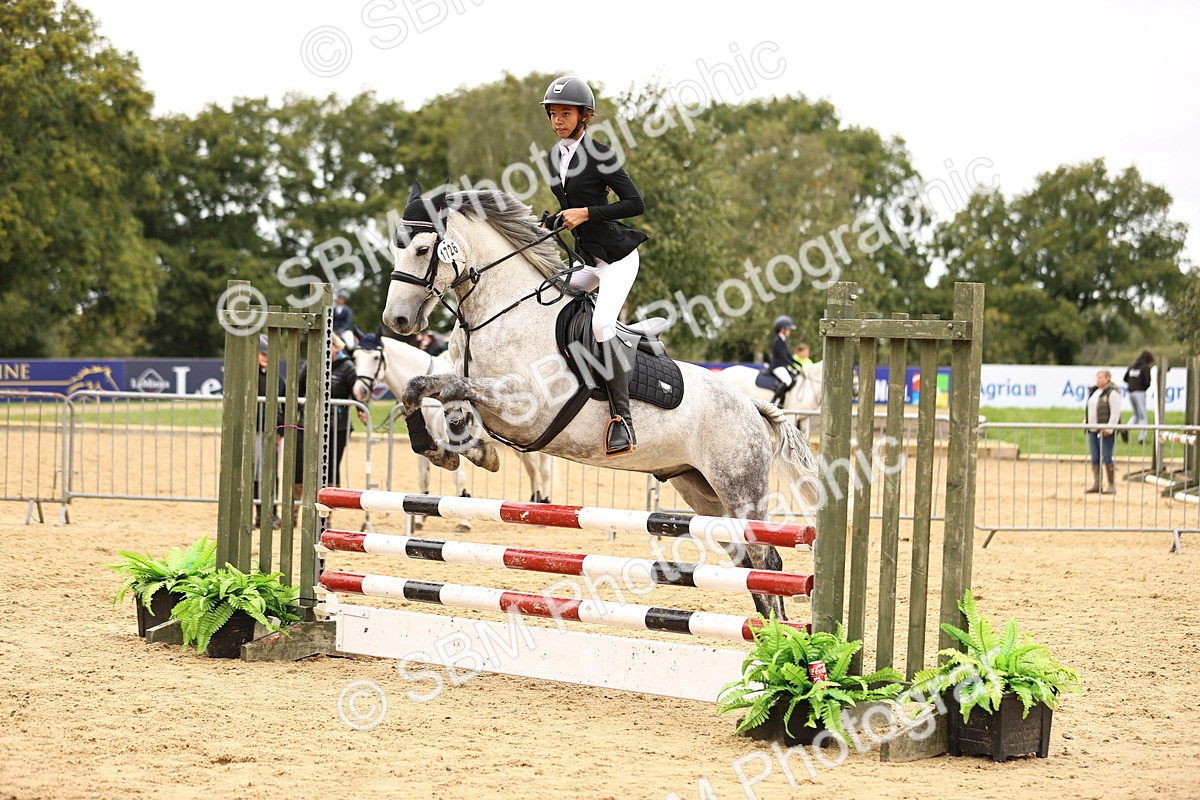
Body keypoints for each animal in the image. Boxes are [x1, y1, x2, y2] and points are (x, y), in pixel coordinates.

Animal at [349, 332, 554, 531]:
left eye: (376, 357)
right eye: (355, 357)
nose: (359, 392)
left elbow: (459, 479)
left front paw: (464, 521)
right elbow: (423, 478)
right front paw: (420, 519)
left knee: (543, 471)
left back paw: (543, 505)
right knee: (532, 471)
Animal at [380, 187, 819, 620]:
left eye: (422, 249)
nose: (396, 320)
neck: (499, 312)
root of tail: (750, 406)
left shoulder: (525, 407)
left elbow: (454, 389)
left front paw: (475, 452)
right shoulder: (470, 385)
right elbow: (425, 389)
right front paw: (448, 449)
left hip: (740, 489)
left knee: (767, 559)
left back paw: (779, 635)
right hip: (702, 491)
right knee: (747, 562)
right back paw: (763, 633)